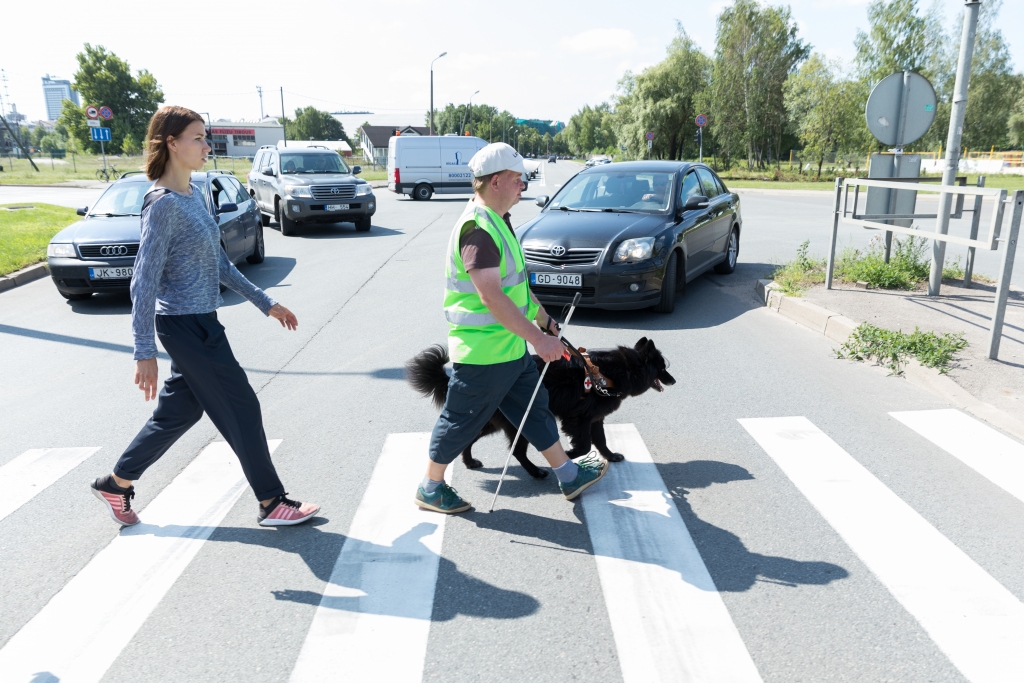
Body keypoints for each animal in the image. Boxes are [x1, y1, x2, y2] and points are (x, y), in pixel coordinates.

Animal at [403, 337, 675, 479]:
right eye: (662, 367)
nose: (673, 380)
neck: (619, 371)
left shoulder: (595, 419)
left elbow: (600, 440)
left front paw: (611, 456)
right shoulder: (578, 420)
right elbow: (585, 445)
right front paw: (569, 455)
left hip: (493, 423)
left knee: (468, 439)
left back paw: (470, 462)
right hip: (521, 424)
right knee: (517, 452)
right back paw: (535, 472)